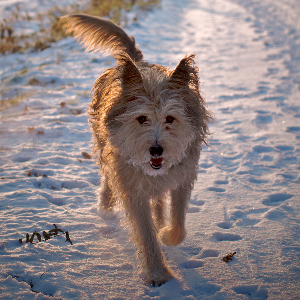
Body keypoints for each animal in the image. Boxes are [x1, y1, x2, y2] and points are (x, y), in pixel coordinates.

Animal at [60, 15, 211, 288]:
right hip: (105, 149)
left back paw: (160, 219)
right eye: (141, 119)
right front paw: (158, 273)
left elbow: (178, 219)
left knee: (159, 198)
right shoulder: (132, 188)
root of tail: (137, 62)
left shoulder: (182, 176)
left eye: (170, 119)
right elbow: (145, 232)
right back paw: (106, 206)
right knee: (108, 179)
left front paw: (168, 234)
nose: (156, 150)